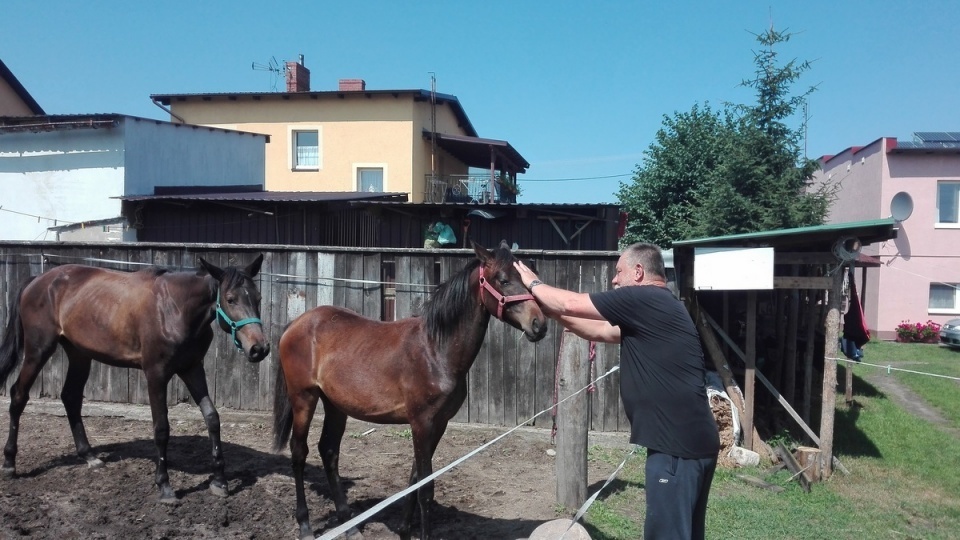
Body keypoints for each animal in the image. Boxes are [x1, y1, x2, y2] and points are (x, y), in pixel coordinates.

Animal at [0, 255, 270, 500]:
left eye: (258, 299)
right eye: (230, 299)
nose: (259, 348)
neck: (175, 308)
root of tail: (37, 281)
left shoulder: (192, 368)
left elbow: (212, 418)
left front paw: (220, 481)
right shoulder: (156, 374)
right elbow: (161, 428)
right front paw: (164, 486)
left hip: (79, 354)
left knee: (71, 397)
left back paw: (89, 456)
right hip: (38, 350)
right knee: (18, 395)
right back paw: (10, 463)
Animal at [274, 242, 552, 540]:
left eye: (528, 278)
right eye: (503, 280)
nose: (539, 325)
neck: (435, 350)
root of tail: (296, 324)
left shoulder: (438, 424)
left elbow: (415, 479)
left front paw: (405, 530)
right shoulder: (421, 422)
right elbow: (425, 488)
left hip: (335, 405)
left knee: (328, 451)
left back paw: (349, 523)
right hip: (303, 398)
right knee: (299, 452)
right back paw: (305, 526)